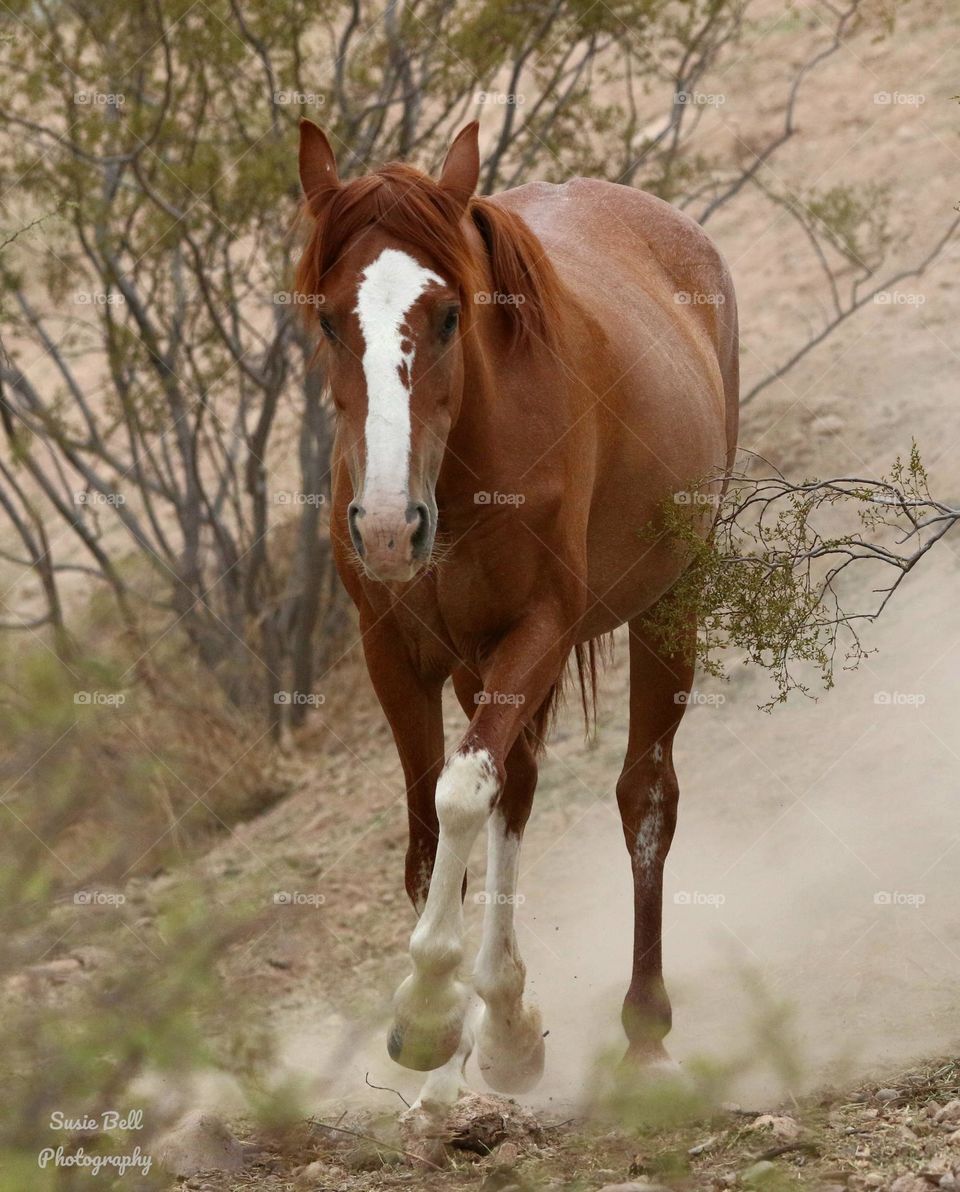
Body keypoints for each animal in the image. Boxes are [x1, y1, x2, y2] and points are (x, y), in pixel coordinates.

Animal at [294, 118, 739, 1108]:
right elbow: (432, 831)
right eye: (329, 319)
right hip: (475, 662)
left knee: (644, 799)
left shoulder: (539, 630)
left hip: (667, 605)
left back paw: (640, 1036)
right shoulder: (397, 653)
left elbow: (463, 793)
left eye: (449, 314)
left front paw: (430, 1017)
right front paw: (467, 1041)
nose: (388, 527)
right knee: (518, 789)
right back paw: (493, 1039)